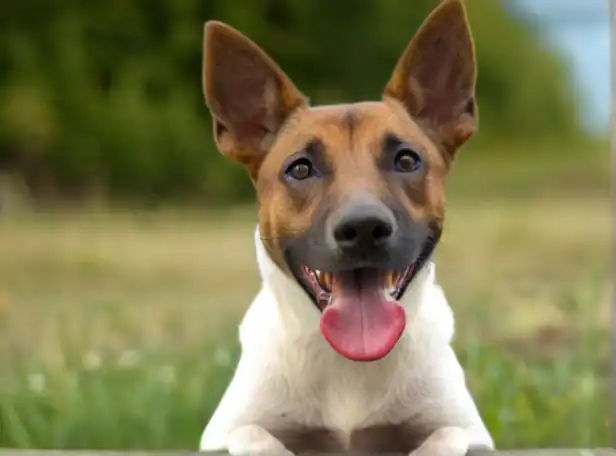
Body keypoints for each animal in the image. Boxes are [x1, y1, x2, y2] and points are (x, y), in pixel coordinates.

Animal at [199, 0, 496, 456]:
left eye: (407, 160)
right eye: (301, 169)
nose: (363, 227)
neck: (349, 365)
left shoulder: (468, 429)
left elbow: (447, 435)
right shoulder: (226, 430)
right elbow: (253, 434)